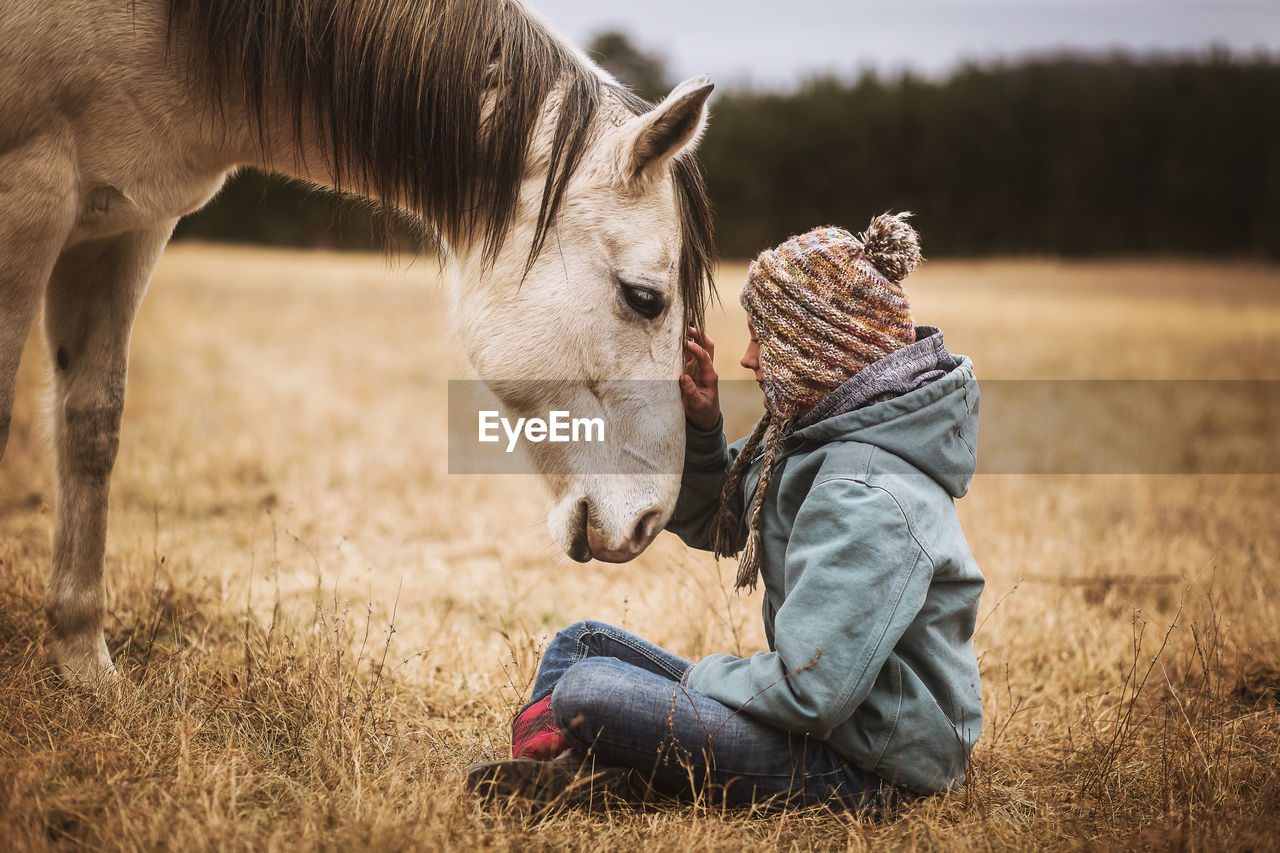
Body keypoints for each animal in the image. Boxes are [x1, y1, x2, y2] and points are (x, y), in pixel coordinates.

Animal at [0, 0, 721, 676]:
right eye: (644, 298)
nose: (651, 521)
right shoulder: (30, 196)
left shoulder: (128, 228)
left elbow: (92, 427)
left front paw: (84, 664)